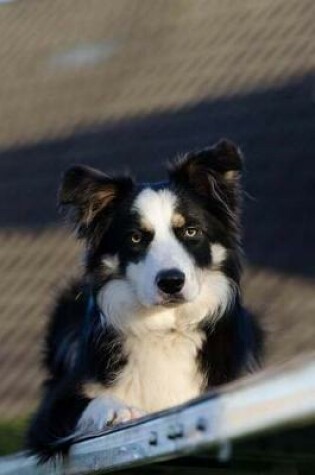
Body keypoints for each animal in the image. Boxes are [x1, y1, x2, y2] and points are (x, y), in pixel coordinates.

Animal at [27, 139, 262, 462]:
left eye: (191, 231)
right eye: (136, 238)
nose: (171, 282)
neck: (166, 329)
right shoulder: (51, 411)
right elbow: (93, 400)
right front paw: (118, 409)